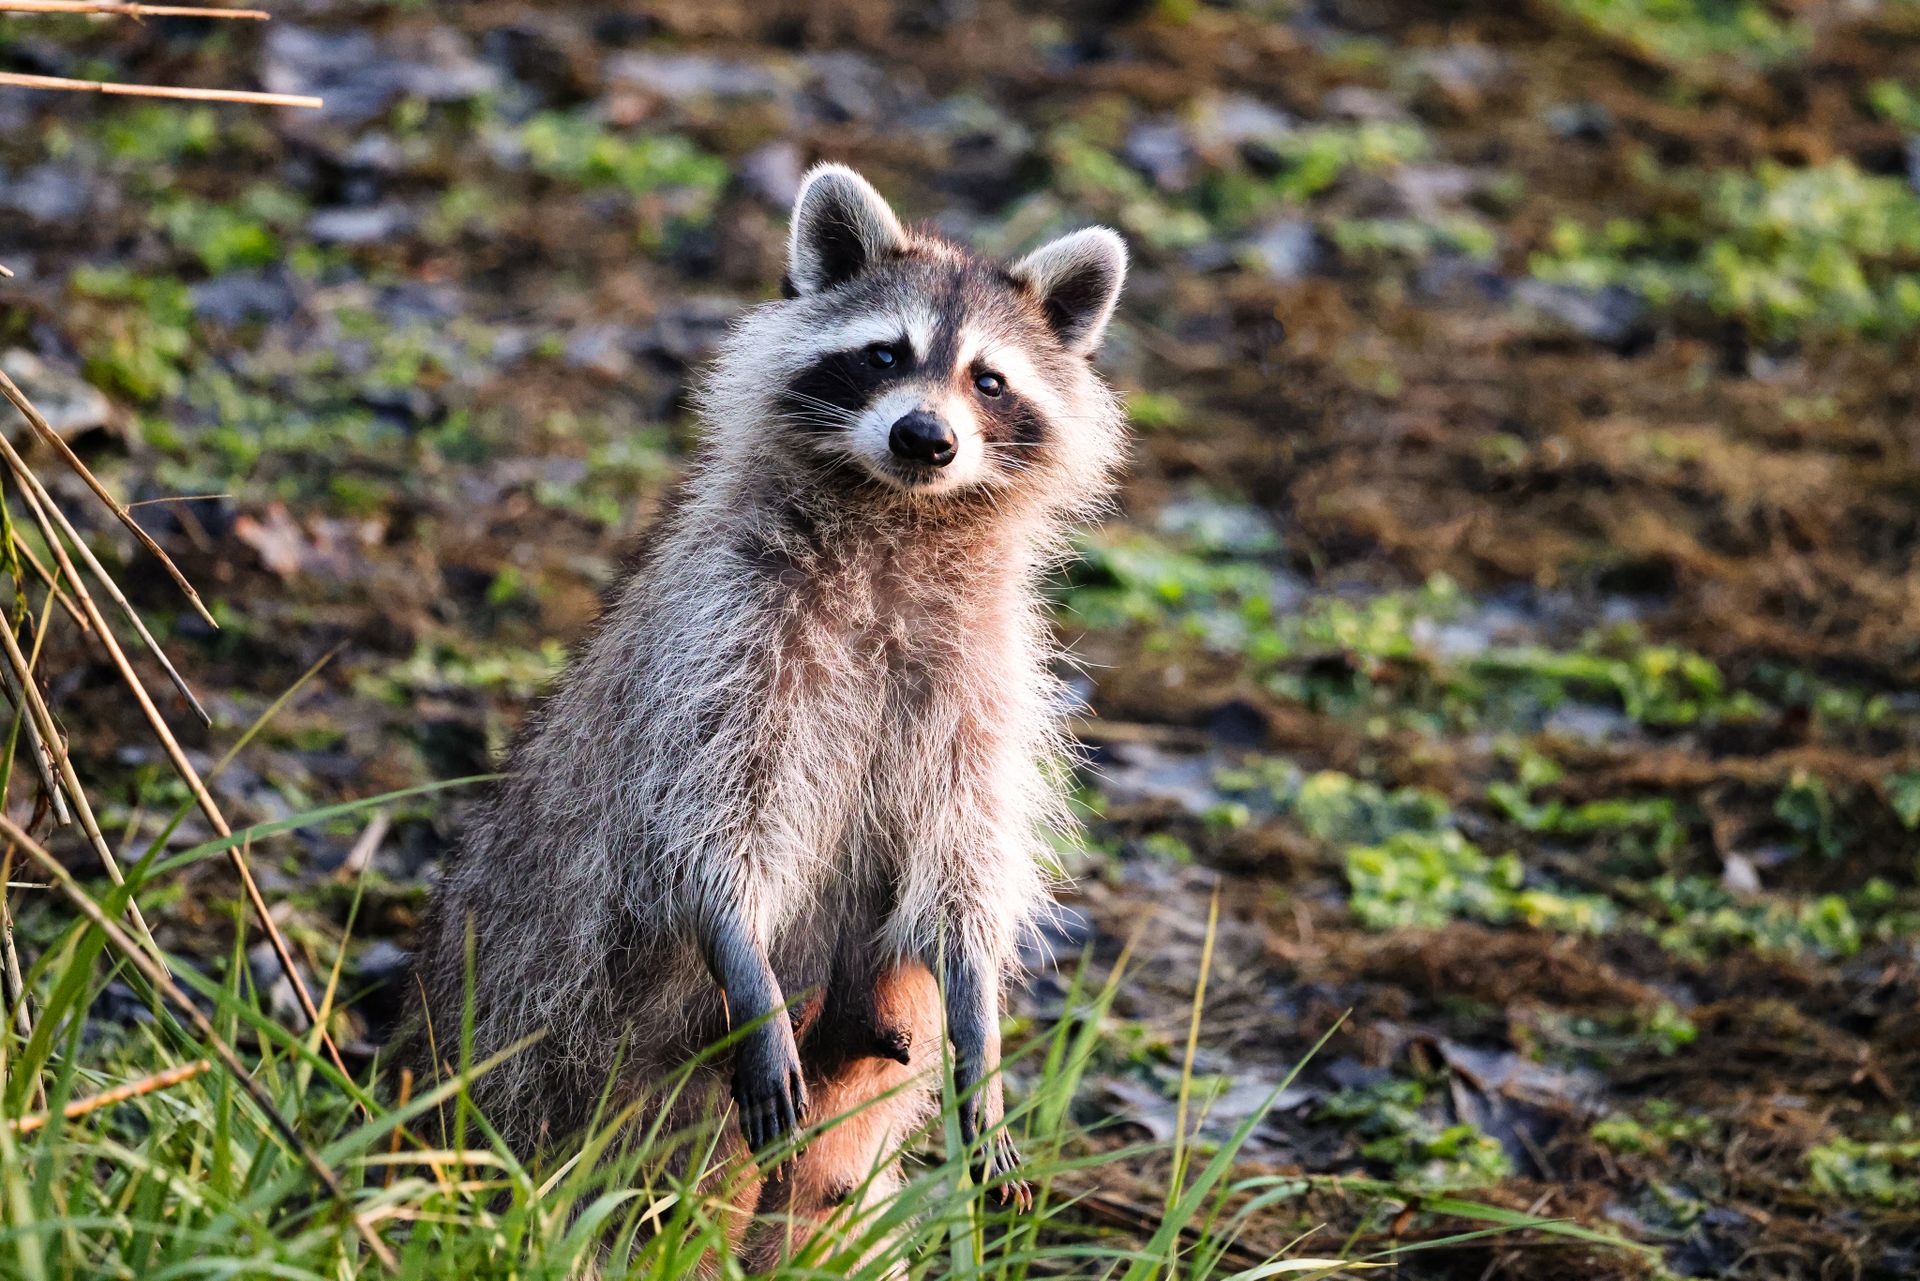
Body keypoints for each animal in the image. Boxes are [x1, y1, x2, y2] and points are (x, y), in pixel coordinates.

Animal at [413, 164, 1128, 1263]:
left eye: (990, 381)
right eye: (885, 354)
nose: (926, 438)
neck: (897, 517)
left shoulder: (984, 676)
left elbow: (962, 861)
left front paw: (981, 1013)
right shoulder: (726, 635)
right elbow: (706, 828)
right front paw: (739, 945)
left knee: (825, 1204)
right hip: (574, 1055)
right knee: (648, 1186)